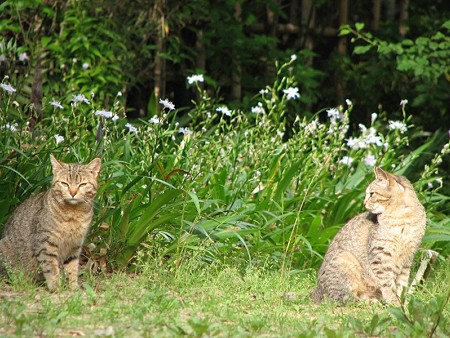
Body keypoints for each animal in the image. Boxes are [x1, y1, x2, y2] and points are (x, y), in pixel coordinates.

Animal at [0, 155, 100, 290]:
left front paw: (73, 287)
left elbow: (72, 268)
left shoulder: (74, 246)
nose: (73, 192)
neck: (73, 215)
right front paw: (55, 287)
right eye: (64, 183)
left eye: (83, 184)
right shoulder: (45, 244)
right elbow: (51, 268)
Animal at [312, 166, 426, 304]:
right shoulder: (381, 255)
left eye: (372, 194)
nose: (364, 203)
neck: (403, 219)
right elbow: (387, 284)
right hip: (344, 259)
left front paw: (403, 303)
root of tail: (316, 291)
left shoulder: (407, 258)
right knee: (346, 298)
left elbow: (402, 285)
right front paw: (394, 302)